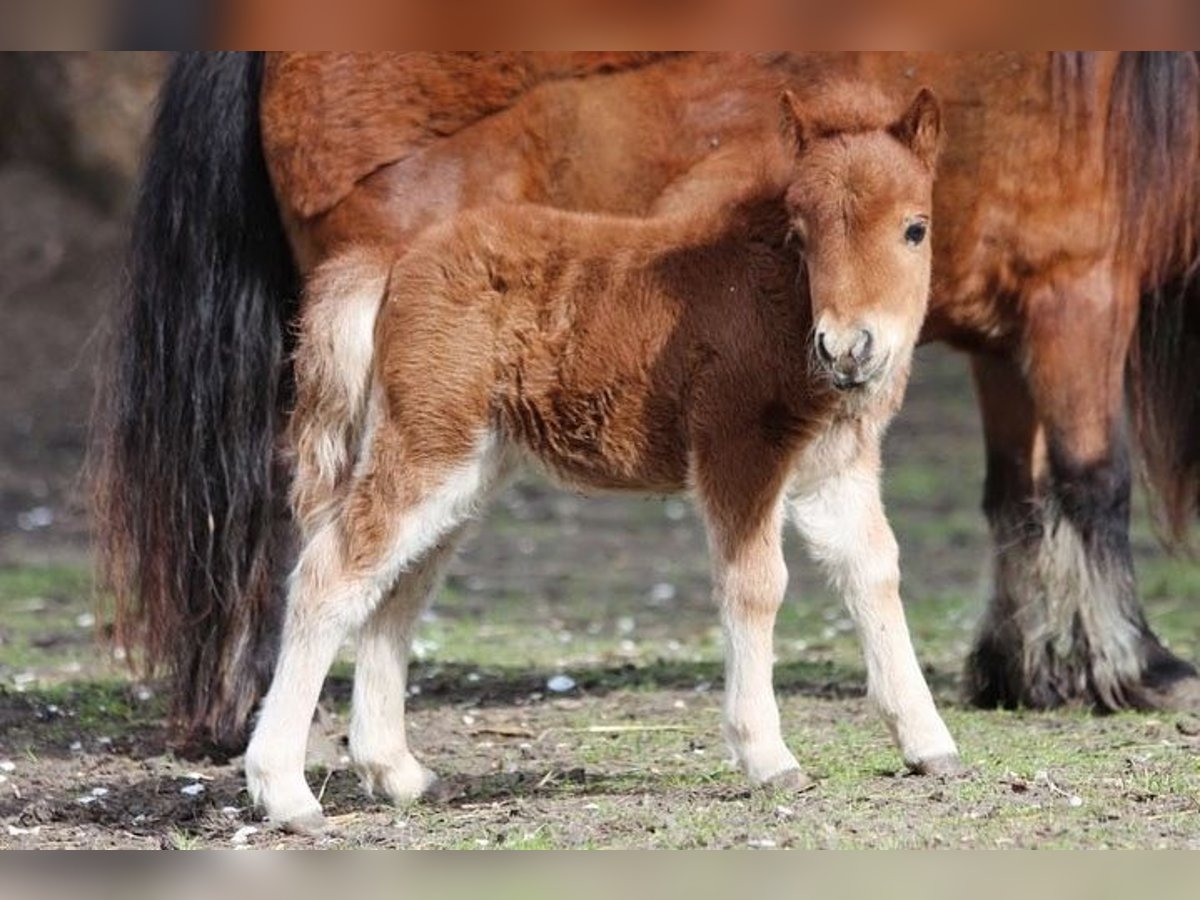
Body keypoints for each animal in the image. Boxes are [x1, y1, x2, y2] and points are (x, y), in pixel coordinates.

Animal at [248, 88, 960, 835]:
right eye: (802, 234)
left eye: (915, 229)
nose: (849, 348)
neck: (775, 302)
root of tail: (394, 258)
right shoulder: (737, 451)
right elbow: (757, 584)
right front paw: (769, 758)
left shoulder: (836, 469)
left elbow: (875, 570)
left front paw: (929, 744)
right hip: (427, 447)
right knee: (332, 573)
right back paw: (285, 793)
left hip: (464, 470)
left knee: (397, 592)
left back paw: (399, 774)